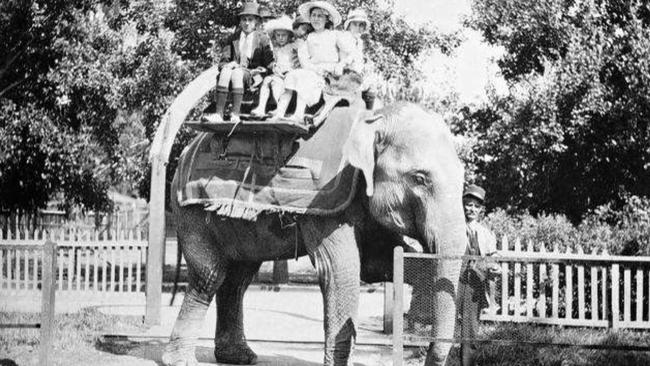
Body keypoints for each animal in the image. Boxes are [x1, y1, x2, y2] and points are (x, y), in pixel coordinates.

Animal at [161, 101, 466, 366]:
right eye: (419, 178)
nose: (425, 354)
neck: (373, 119)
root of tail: (184, 151)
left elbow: (376, 262)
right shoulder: (327, 203)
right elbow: (342, 271)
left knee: (238, 279)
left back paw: (239, 357)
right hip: (191, 215)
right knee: (210, 275)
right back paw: (181, 361)